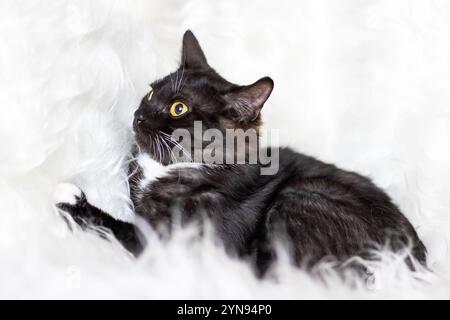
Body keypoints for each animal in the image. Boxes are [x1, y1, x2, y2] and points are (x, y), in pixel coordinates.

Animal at [54, 29, 428, 276]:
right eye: (149, 93)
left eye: (178, 107)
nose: (138, 115)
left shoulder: (174, 243)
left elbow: (121, 228)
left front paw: (73, 199)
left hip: (302, 198)